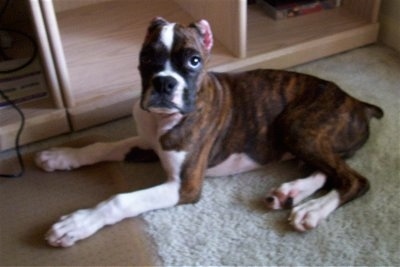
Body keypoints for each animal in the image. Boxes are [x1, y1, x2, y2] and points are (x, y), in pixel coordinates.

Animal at [36, 17, 382, 248]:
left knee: (353, 179)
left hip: (298, 127)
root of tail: (357, 103)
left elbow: (120, 200)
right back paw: (292, 195)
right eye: (147, 57)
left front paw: (77, 223)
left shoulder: (184, 187)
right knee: (327, 170)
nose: (164, 83)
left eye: (193, 60)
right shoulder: (147, 143)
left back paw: (313, 209)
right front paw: (61, 156)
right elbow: (102, 146)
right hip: (305, 138)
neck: (163, 121)